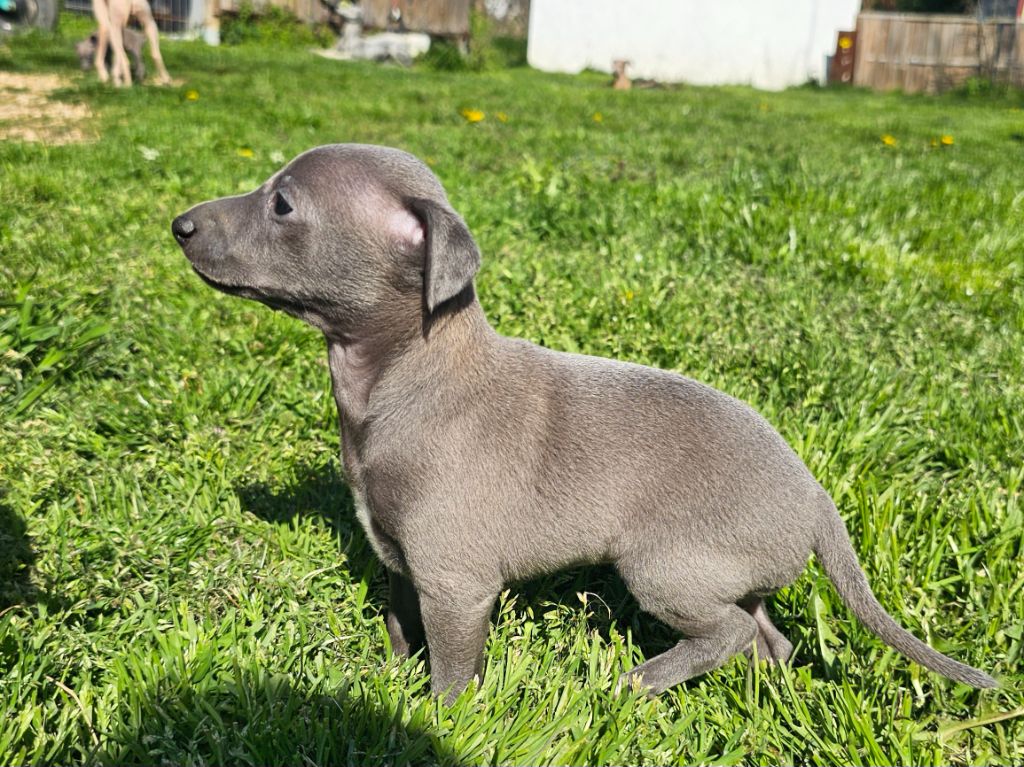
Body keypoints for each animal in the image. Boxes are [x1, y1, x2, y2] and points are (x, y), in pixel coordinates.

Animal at [172, 144, 997, 702]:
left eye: (282, 204)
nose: (178, 223)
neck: (402, 377)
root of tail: (819, 497)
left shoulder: (458, 583)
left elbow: (450, 668)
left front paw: (434, 716)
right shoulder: (402, 560)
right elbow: (402, 626)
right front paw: (387, 677)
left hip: (665, 563)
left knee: (726, 630)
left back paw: (637, 682)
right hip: (729, 568)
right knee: (769, 634)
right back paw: (757, 695)